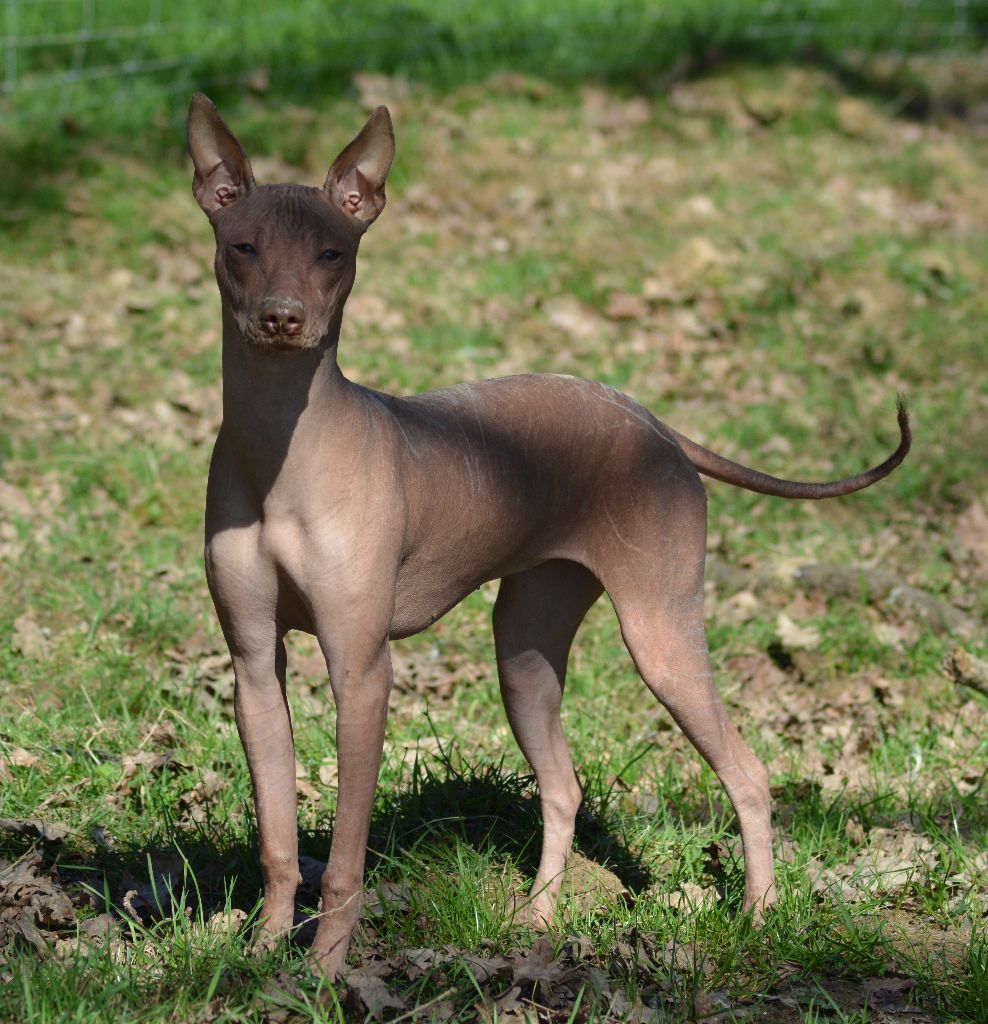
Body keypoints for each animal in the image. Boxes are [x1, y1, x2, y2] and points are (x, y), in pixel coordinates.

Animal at [185, 97, 909, 983]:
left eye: (332, 251)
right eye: (242, 246)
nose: (283, 318)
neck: (281, 450)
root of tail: (653, 422)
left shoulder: (361, 668)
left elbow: (347, 853)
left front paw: (323, 972)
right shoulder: (254, 665)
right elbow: (280, 838)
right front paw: (259, 955)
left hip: (661, 635)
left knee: (748, 772)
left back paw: (760, 915)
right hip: (524, 650)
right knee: (564, 787)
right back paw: (537, 920)